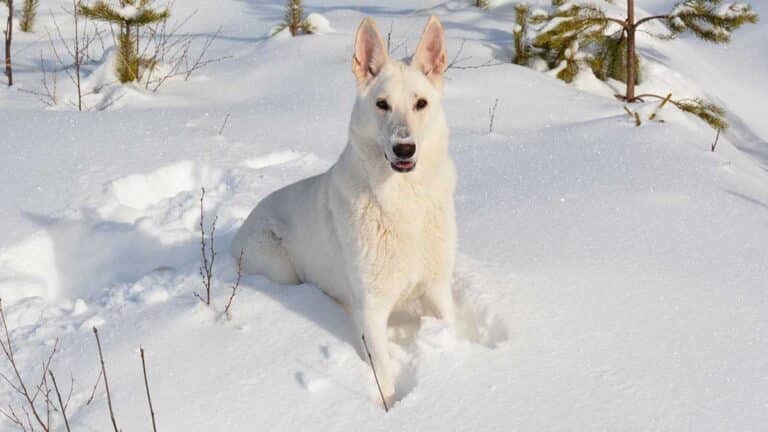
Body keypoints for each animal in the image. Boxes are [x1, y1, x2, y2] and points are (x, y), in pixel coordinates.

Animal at [228, 14, 456, 404]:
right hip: (278, 263)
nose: (404, 148)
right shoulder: (372, 309)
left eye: (421, 103)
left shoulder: (438, 288)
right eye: (382, 104)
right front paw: (392, 407)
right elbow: (384, 376)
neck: (404, 202)